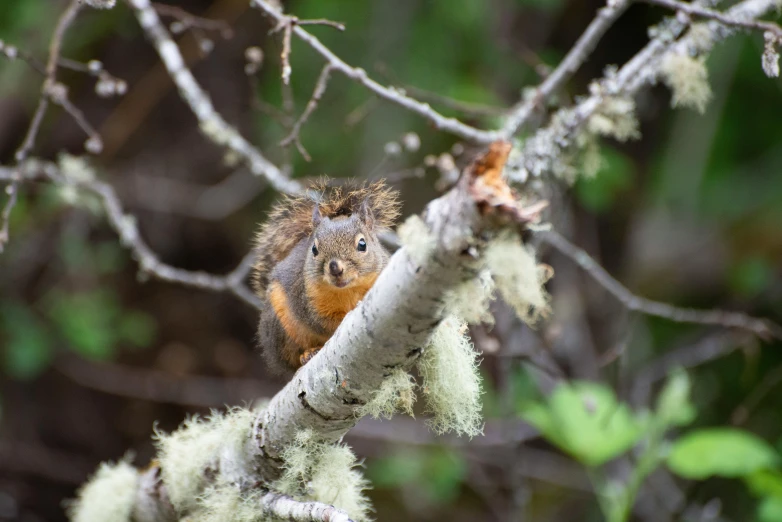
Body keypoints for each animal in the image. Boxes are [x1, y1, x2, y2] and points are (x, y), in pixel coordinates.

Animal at [253, 179, 402, 374]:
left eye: (362, 244)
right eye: (314, 249)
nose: (335, 268)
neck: (348, 291)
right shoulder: (307, 301)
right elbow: (322, 323)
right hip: (280, 327)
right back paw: (307, 354)